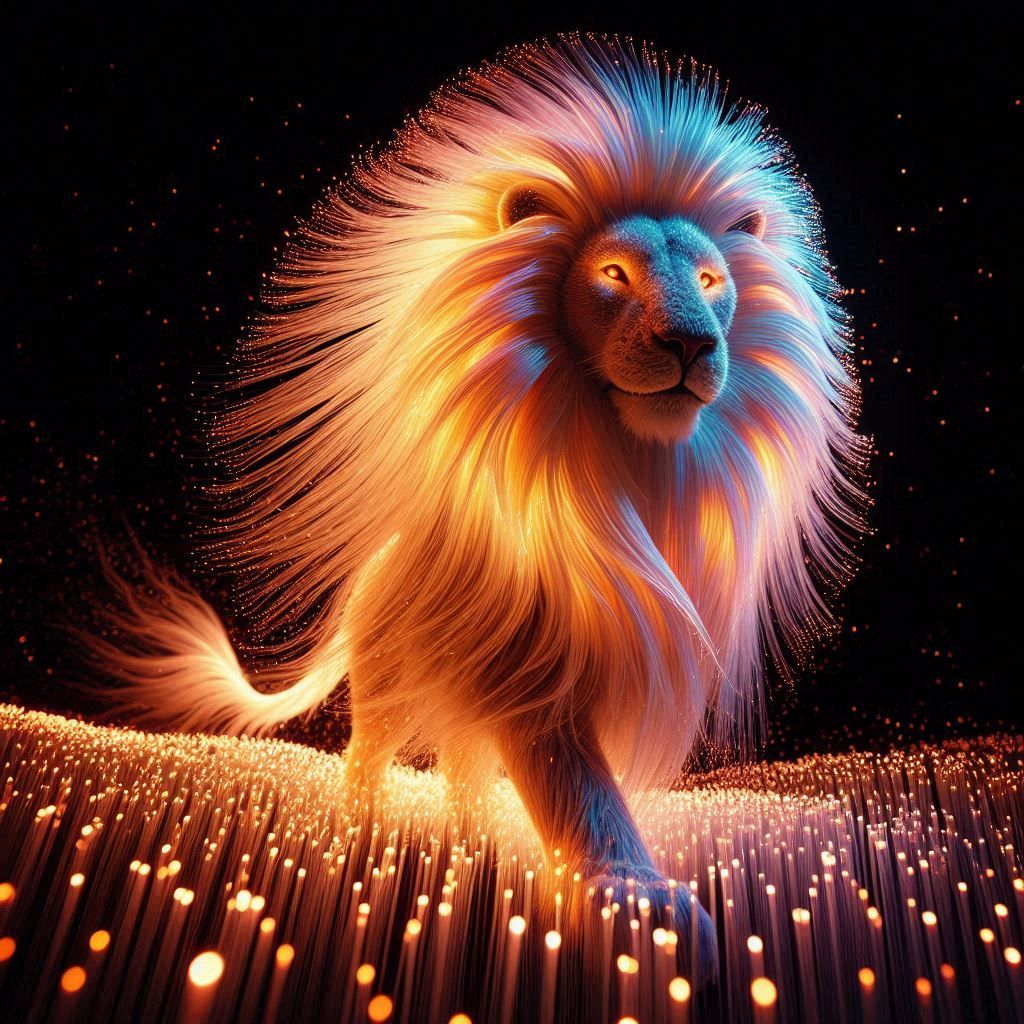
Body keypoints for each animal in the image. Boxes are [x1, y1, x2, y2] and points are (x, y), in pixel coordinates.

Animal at [90, 35, 868, 981]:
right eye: (614, 274)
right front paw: (637, 905)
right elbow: (581, 789)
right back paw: (367, 832)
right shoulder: (536, 672)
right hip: (389, 679)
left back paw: (475, 839)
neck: (625, 465)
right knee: (367, 753)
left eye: (714, 278)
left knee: (461, 768)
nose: (691, 343)